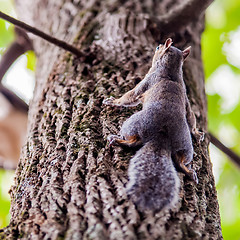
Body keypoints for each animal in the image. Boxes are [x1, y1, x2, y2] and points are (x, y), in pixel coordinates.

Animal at [103, 38, 204, 211]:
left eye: (158, 47)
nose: (157, 46)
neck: (172, 72)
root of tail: (162, 137)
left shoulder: (148, 81)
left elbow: (130, 96)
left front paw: (113, 101)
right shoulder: (186, 98)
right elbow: (191, 117)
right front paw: (197, 134)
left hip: (132, 123)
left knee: (133, 141)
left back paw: (116, 139)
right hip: (186, 146)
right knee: (181, 161)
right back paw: (190, 173)